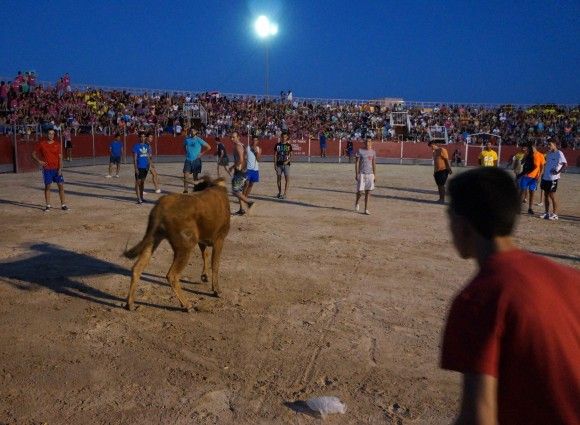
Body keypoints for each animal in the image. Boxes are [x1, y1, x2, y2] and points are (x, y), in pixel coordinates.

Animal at [124, 176, 231, 312]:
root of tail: (161, 206)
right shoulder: (219, 239)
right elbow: (215, 264)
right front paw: (217, 290)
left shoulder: (202, 241)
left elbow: (205, 255)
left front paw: (204, 276)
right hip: (185, 247)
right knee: (172, 275)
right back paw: (187, 305)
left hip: (153, 239)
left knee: (137, 268)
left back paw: (130, 304)